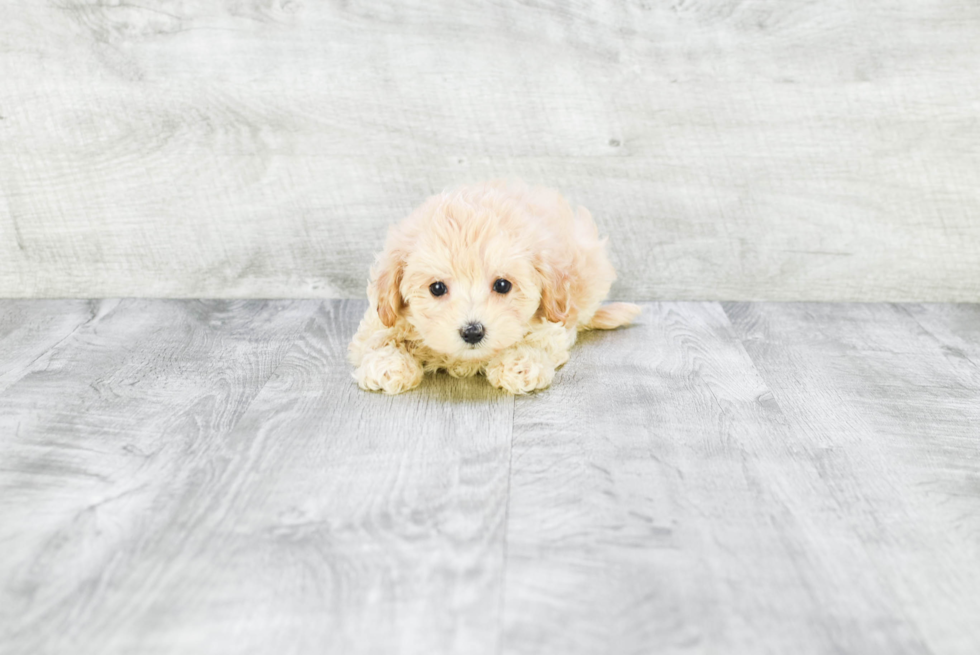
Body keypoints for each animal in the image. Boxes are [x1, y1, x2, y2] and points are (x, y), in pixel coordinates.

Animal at [350, 182, 644, 394]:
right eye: (437, 288)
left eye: (502, 285)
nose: (472, 332)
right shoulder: (378, 318)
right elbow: (378, 338)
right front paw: (388, 364)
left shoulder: (554, 323)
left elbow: (536, 340)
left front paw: (520, 365)